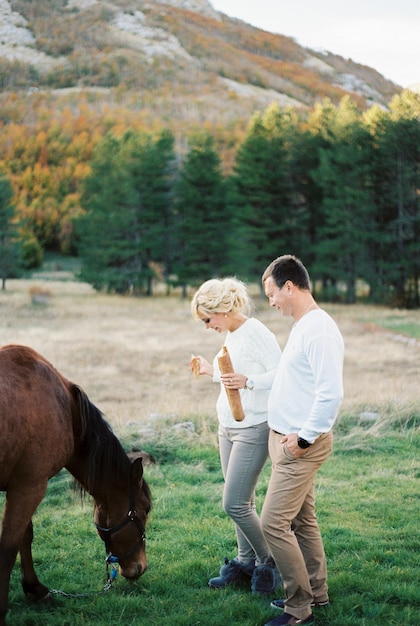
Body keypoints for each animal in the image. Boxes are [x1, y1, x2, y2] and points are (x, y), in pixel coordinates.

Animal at [0, 344, 153, 620]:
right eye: (145, 510)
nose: (140, 567)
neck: (67, 411)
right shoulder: (29, 485)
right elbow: (9, 547)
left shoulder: (21, 485)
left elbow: (25, 535)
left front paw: (35, 589)